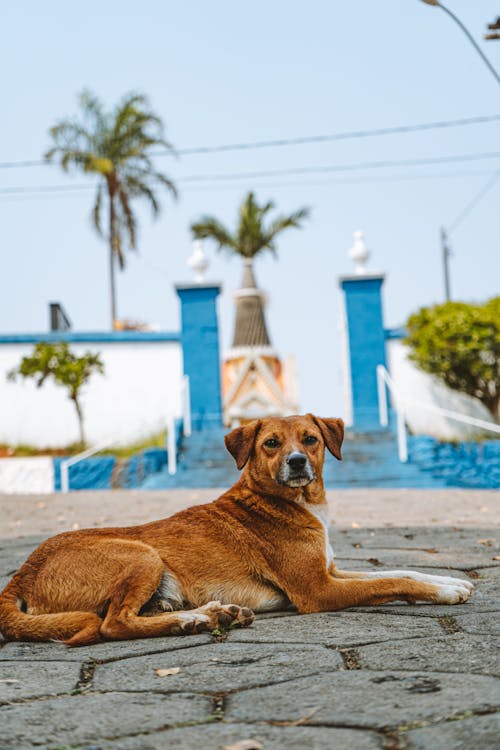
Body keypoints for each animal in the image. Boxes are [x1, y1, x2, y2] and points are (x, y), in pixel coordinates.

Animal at [0, 414, 472, 648]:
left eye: (310, 439)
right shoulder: (318, 590)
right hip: (141, 553)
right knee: (111, 625)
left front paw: (449, 581)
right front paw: (444, 591)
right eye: (271, 444)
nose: (297, 462)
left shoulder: (332, 571)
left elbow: (399, 571)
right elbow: (390, 581)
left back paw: (206, 613)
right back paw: (195, 620)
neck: (288, 502)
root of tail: (21, 574)